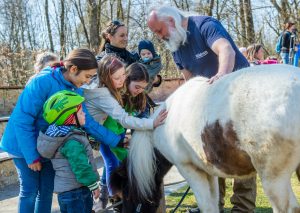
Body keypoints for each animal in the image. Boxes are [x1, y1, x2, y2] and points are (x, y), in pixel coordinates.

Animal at [110, 65, 300, 213]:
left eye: (126, 194)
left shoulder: (188, 169)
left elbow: (206, 205)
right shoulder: (208, 170)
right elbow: (214, 203)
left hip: (273, 178)